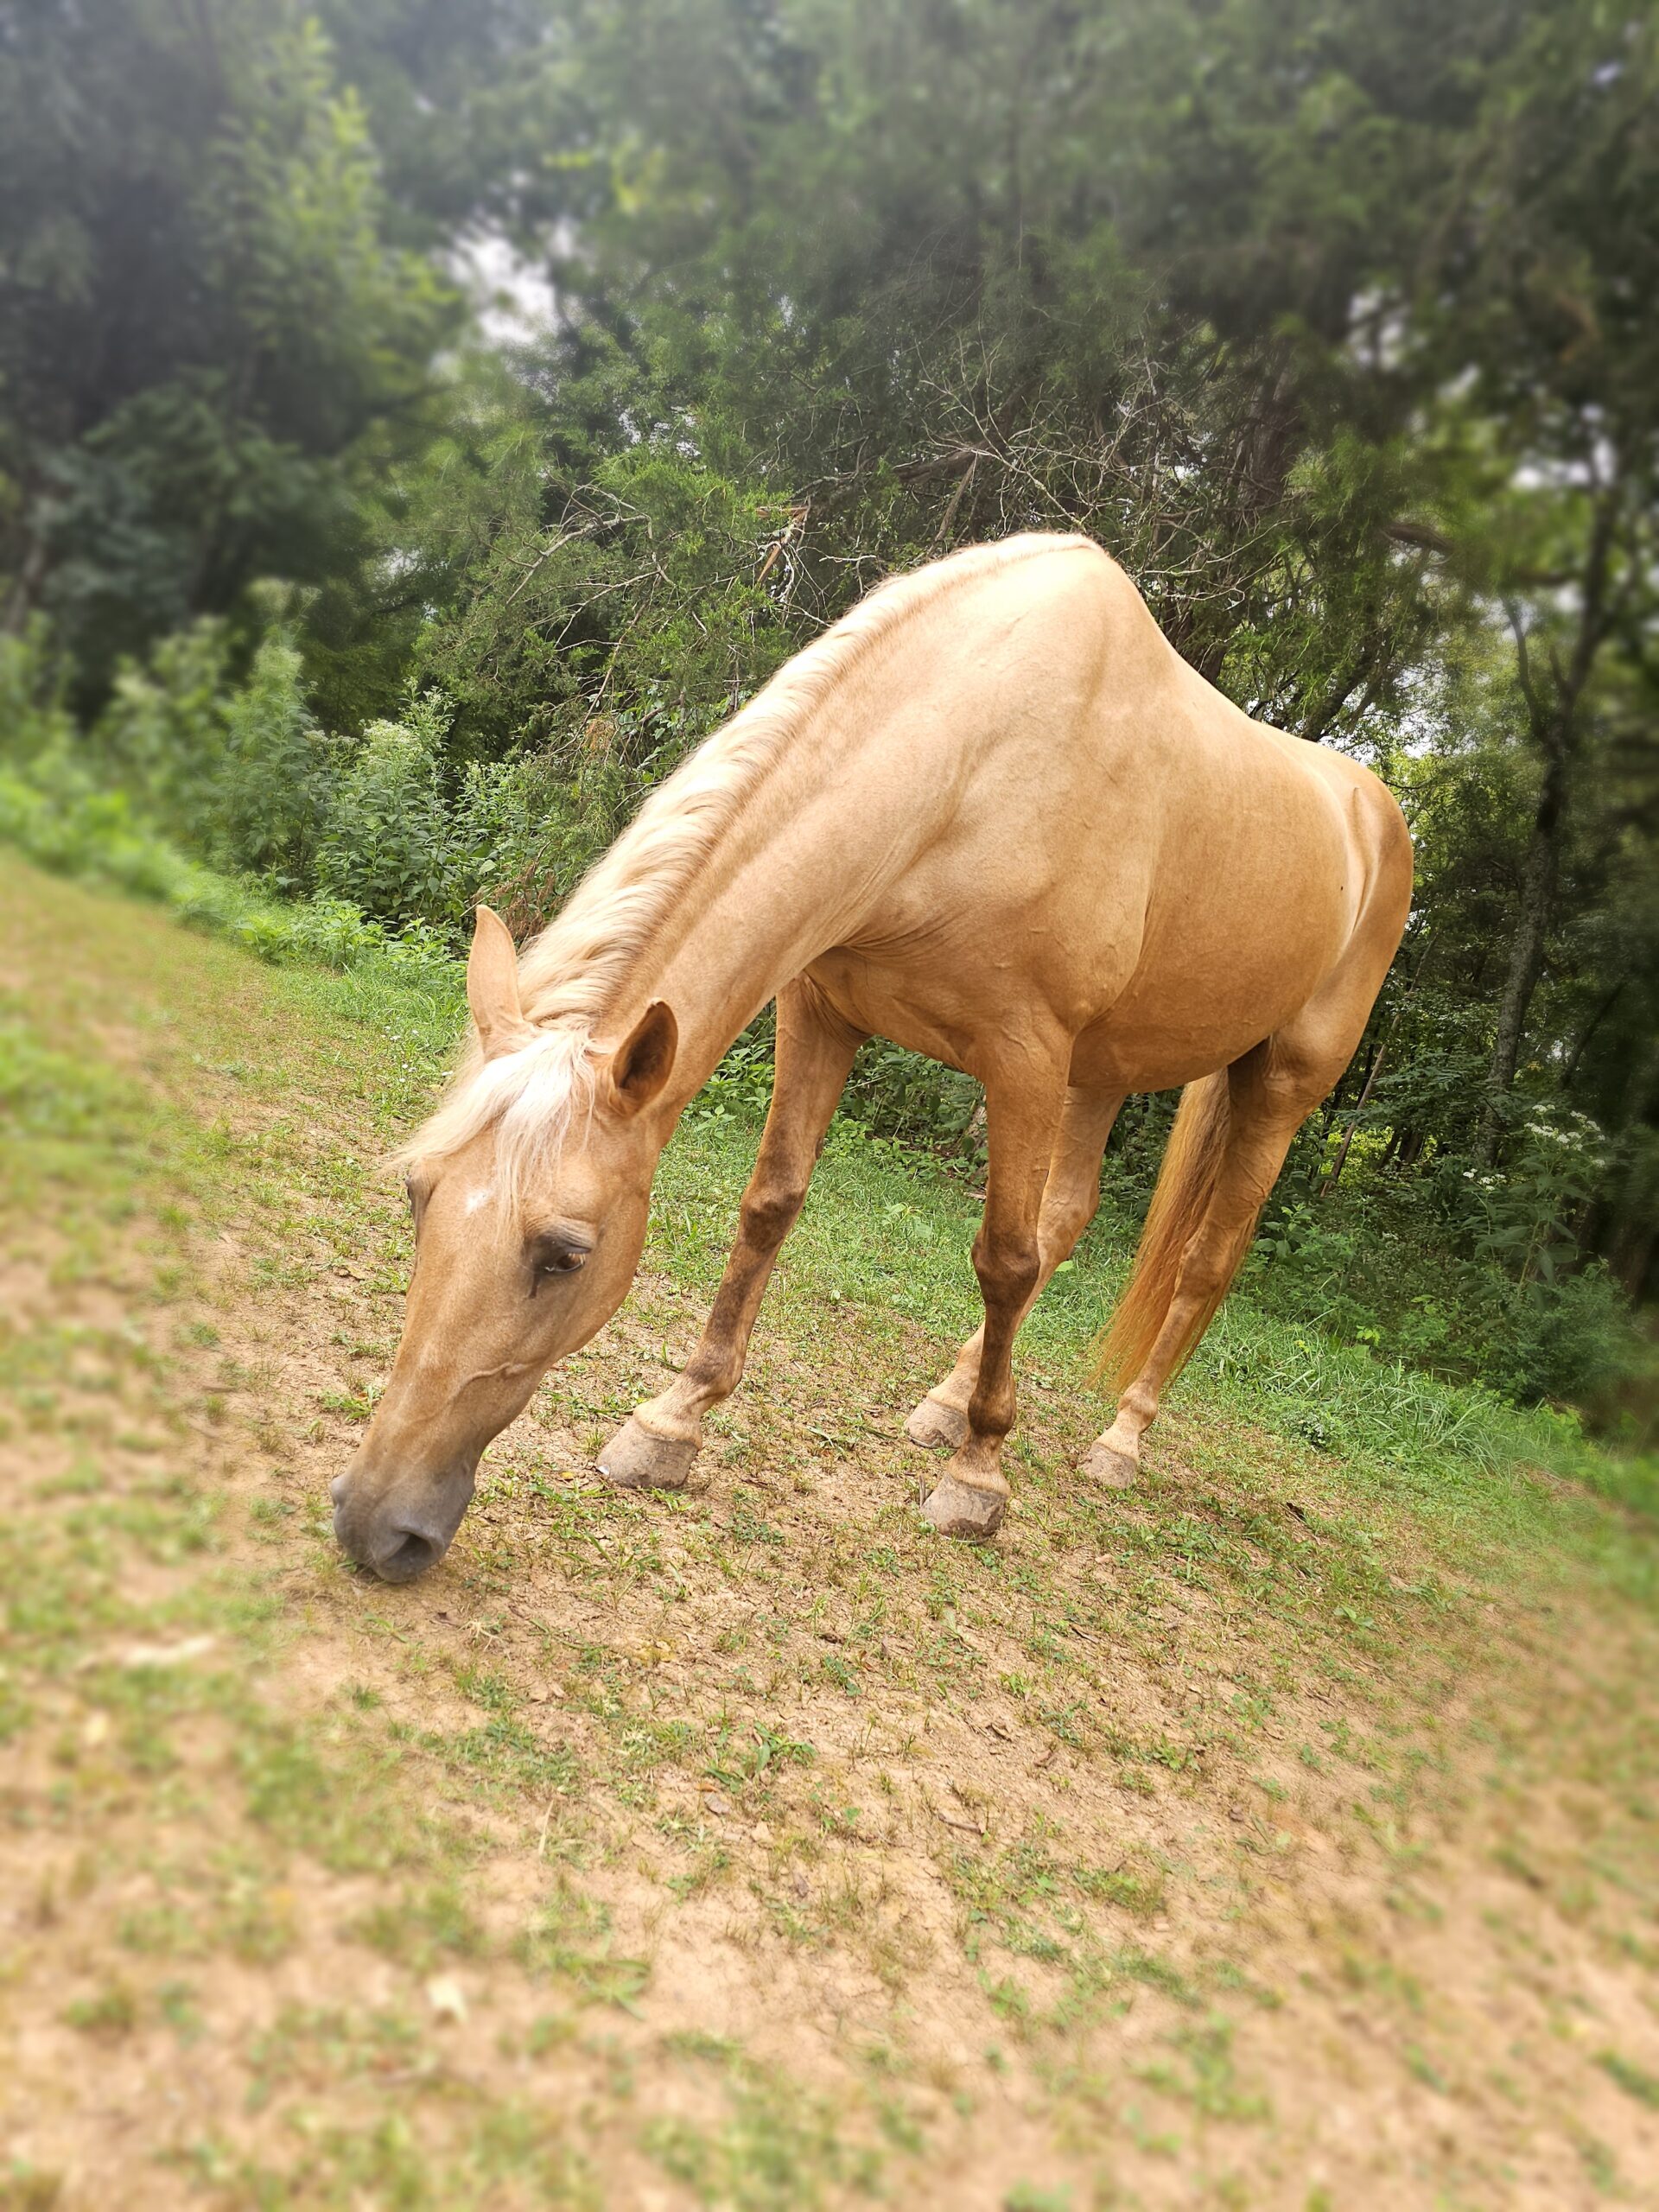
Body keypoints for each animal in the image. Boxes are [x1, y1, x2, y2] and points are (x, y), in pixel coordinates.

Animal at [332, 528, 1407, 1583]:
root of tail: (1373, 812)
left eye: (565, 1254)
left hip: (1274, 1089)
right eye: (419, 1194)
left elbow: (1004, 1258)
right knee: (1069, 1216)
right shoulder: (821, 1010)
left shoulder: (1025, 1057)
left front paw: (979, 1482)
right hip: (1102, 1072)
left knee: (1201, 1264)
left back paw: (1117, 1443)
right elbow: (772, 1204)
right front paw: (673, 1422)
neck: (971, 763)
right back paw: (944, 1402)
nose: (375, 1524)